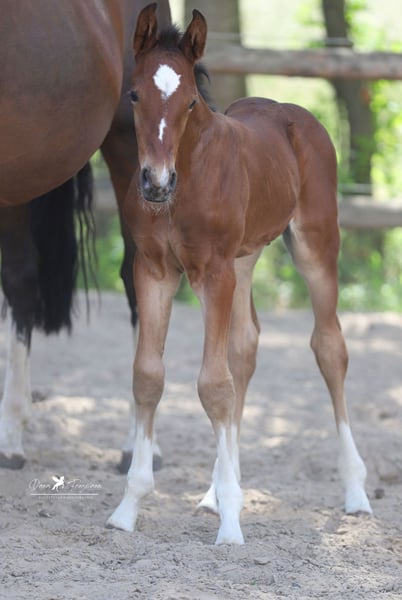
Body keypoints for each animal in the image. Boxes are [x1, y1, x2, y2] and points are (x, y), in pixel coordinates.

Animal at [106, 4, 372, 545]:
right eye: (134, 94)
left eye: (190, 101)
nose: (155, 183)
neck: (186, 181)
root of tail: (294, 112)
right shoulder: (155, 271)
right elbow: (149, 376)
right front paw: (129, 507)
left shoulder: (212, 273)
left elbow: (213, 384)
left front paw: (231, 523)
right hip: (245, 258)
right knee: (245, 348)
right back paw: (214, 490)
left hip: (315, 245)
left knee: (329, 347)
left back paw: (355, 490)